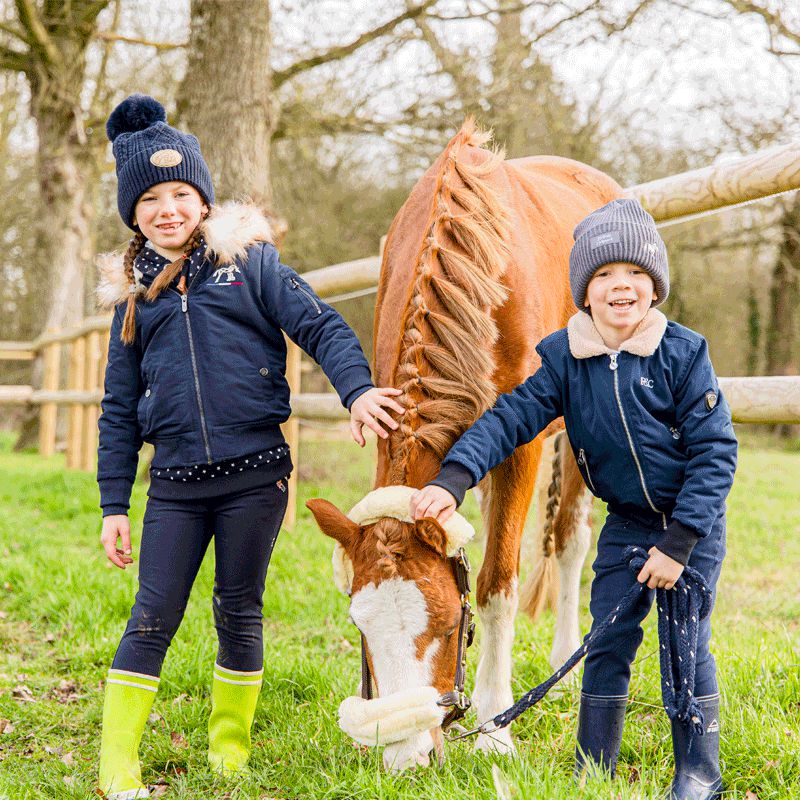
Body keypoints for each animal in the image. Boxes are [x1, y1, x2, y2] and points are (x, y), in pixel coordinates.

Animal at [306, 120, 624, 768]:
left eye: (451, 626)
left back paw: (565, 661)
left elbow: (498, 584)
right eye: (361, 630)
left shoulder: (523, 447)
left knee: (570, 540)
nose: (407, 759)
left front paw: (495, 728)